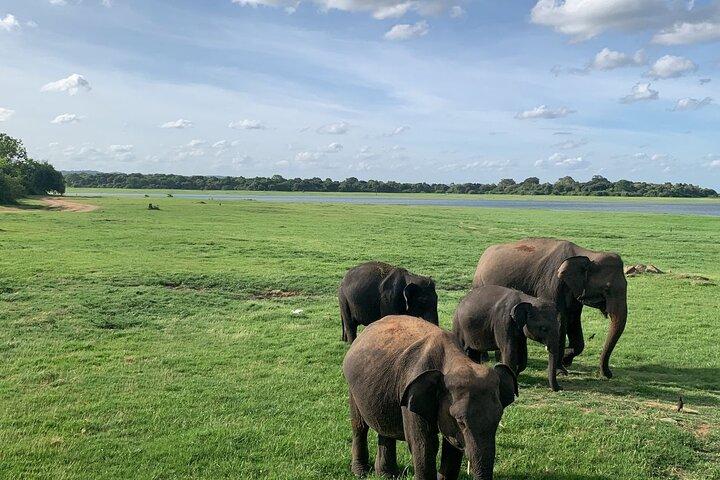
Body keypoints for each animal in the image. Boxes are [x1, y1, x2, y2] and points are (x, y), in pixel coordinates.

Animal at [343, 315, 517, 480]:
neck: (457, 361)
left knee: (385, 427)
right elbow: (424, 446)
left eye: (498, 420)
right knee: (359, 426)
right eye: (460, 422)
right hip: (352, 388)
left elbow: (453, 447)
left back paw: (387, 475)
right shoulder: (410, 394)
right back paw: (361, 472)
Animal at [473, 238, 628, 378]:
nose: (607, 374)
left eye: (627, 284)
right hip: (479, 282)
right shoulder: (551, 284)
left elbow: (573, 320)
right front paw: (561, 370)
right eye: (607, 289)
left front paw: (566, 359)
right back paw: (484, 358)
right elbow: (559, 320)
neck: (586, 254)